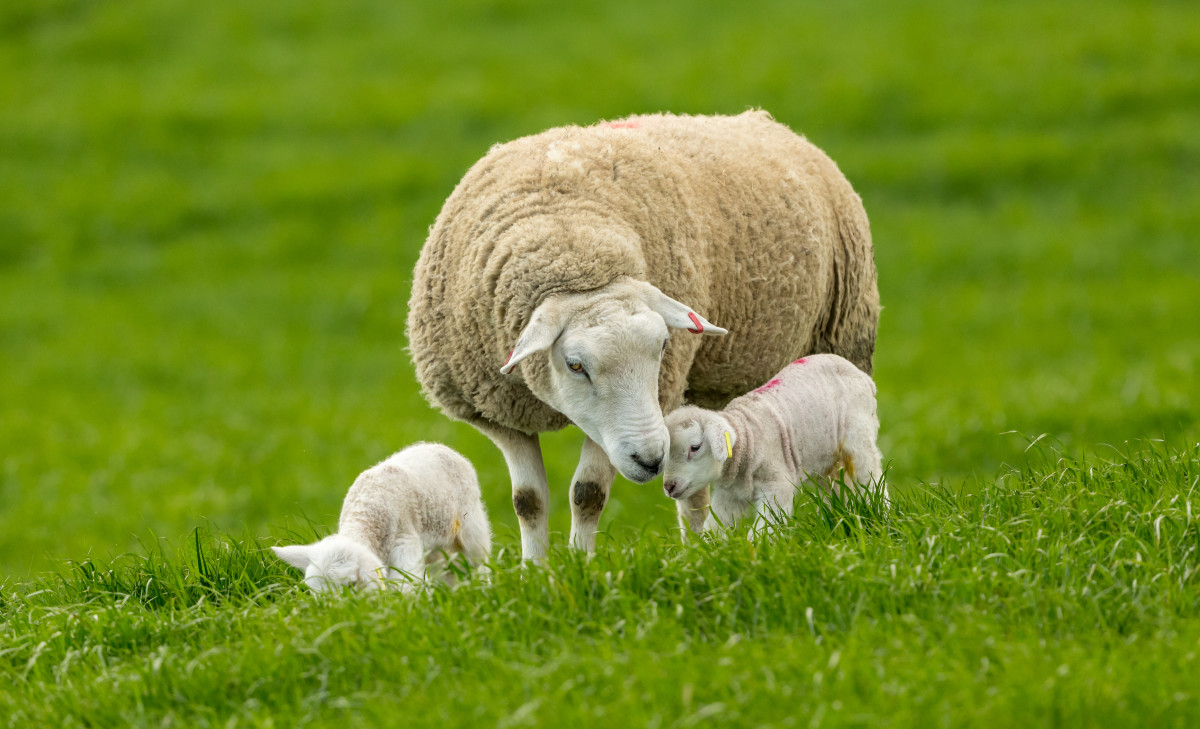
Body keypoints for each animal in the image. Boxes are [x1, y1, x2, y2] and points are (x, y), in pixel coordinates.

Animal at [272, 443, 492, 592]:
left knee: (478, 559)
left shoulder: (405, 541)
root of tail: (437, 446)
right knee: (446, 567)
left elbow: (403, 581)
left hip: (470, 524)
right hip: (436, 540)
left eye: (351, 585)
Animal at [662, 352, 888, 534]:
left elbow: (765, 528)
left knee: (871, 478)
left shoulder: (777, 485)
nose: (669, 486)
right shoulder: (729, 496)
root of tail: (863, 377)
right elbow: (715, 527)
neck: (748, 439)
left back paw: (879, 516)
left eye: (695, 447)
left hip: (859, 437)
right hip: (826, 456)